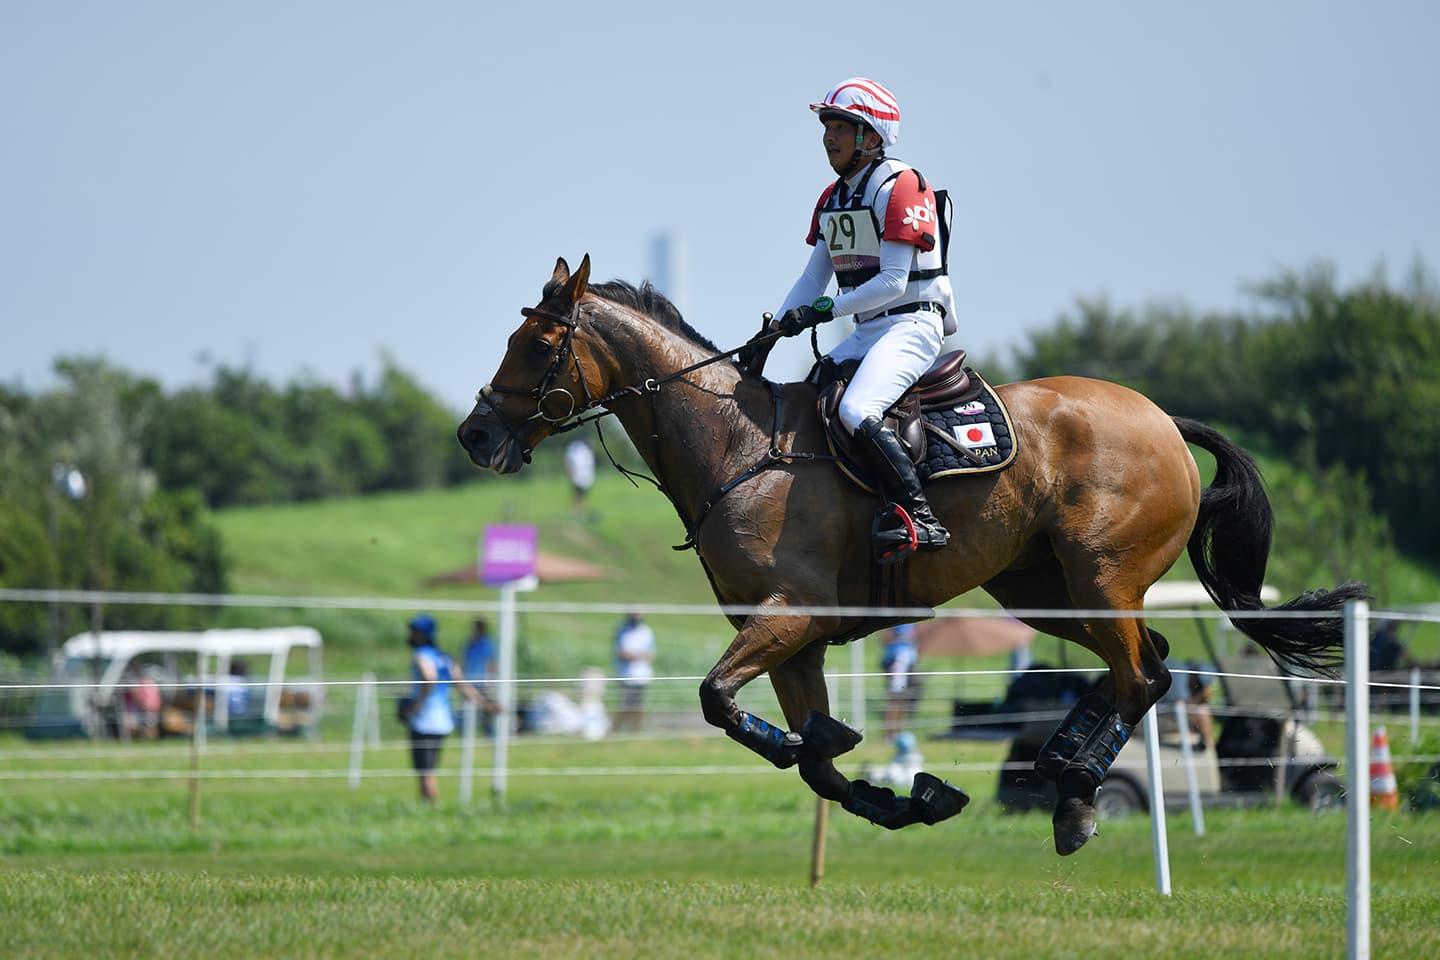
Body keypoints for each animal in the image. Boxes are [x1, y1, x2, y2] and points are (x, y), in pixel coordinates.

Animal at [455, 254, 1365, 857]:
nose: (474, 435)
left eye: (537, 345)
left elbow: (723, 702)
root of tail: (1165, 420)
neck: (735, 447)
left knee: (1145, 673)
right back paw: (1056, 763)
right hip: (1041, 589)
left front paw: (835, 754)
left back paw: (1074, 797)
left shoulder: (794, 618)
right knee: (1150, 662)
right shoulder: (793, 642)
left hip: (1099, 576)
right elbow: (815, 762)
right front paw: (909, 797)